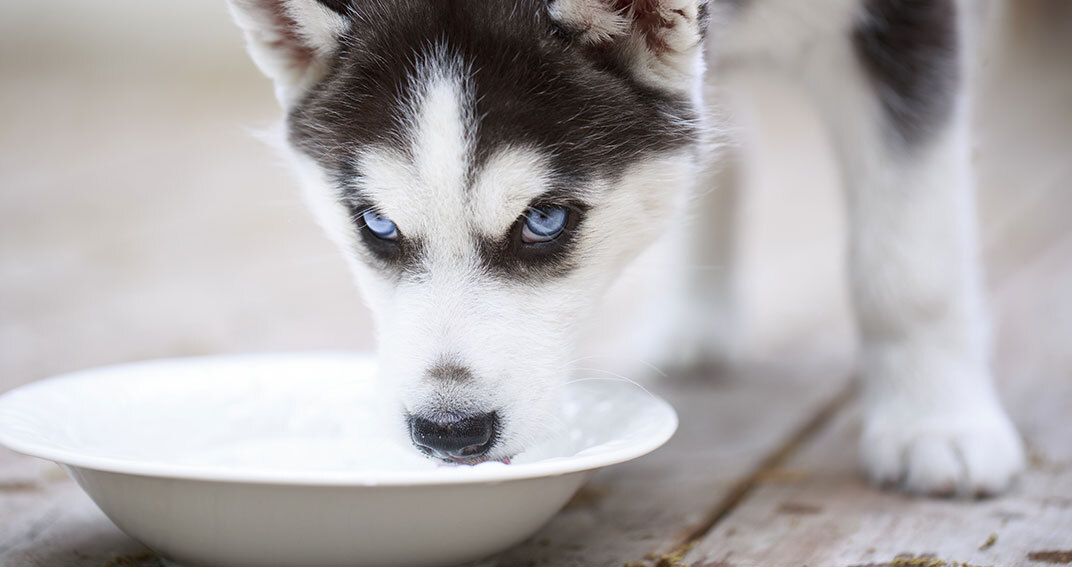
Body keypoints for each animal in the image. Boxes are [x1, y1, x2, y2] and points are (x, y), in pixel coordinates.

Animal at [226, 0, 1020, 495]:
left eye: (545, 220)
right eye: (376, 226)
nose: (450, 432)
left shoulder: (907, 28)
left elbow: (908, 259)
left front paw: (937, 420)